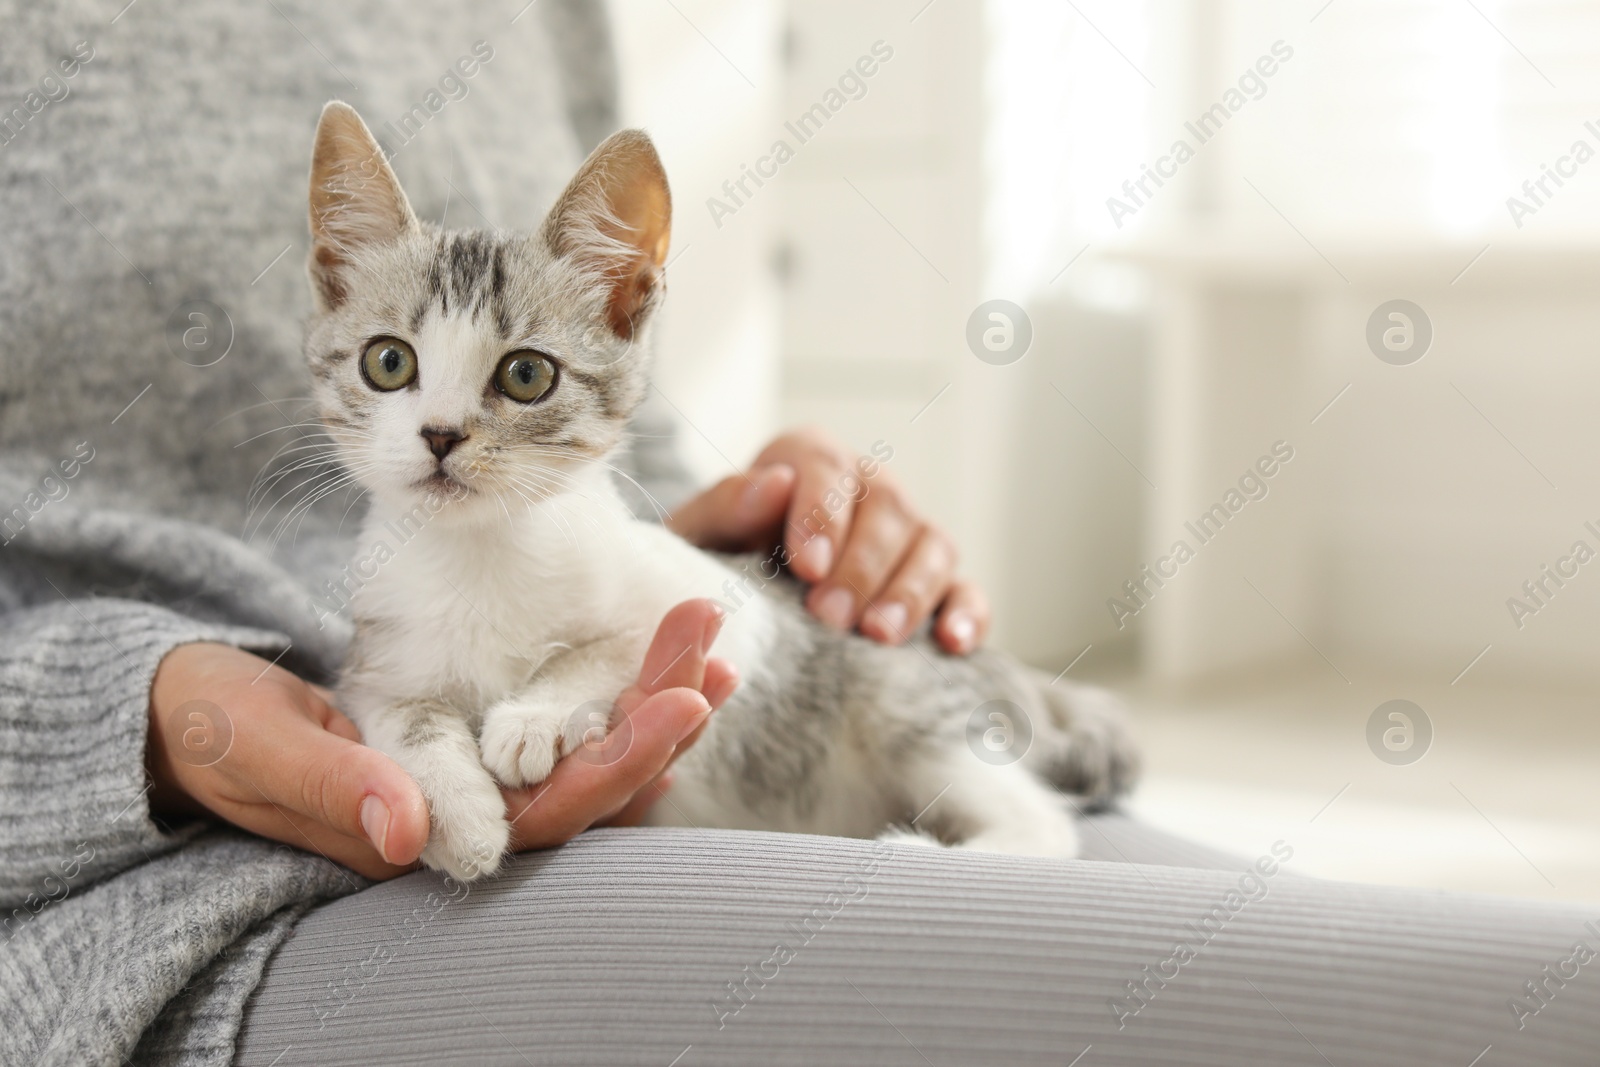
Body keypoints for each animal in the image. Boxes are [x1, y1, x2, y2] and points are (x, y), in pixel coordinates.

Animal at [302, 103, 1139, 883]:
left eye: (527, 374)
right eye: (388, 361)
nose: (440, 435)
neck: (482, 556)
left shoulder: (722, 612)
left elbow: (613, 646)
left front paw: (535, 713)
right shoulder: (375, 659)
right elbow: (401, 714)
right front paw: (458, 813)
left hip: (910, 705)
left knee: (1042, 820)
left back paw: (928, 851)